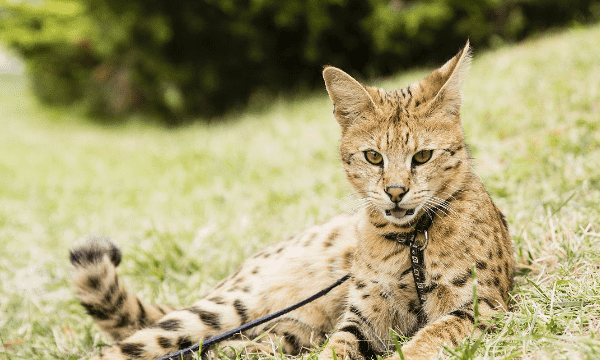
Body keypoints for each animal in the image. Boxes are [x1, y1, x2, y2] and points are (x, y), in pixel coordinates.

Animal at [69, 40, 510, 358]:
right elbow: (340, 348)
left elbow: (429, 338)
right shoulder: (363, 317)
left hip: (291, 329)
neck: (411, 241)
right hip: (227, 308)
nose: (396, 191)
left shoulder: (481, 305)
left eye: (422, 156)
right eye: (373, 157)